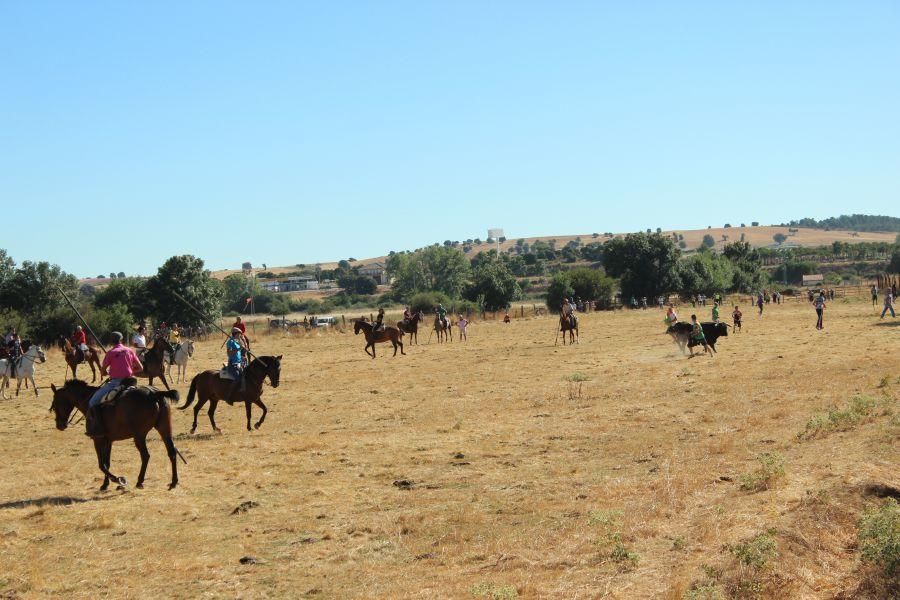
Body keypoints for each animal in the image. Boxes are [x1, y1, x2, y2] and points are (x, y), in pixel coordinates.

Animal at [50, 382, 184, 490]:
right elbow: (107, 463)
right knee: (172, 452)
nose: (59, 425)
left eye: (55, 403)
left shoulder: (97, 439)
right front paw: (105, 484)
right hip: (164, 429)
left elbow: (102, 464)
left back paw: (139, 481)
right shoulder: (108, 440)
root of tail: (154, 393)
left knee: (145, 456)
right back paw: (173, 482)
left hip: (139, 436)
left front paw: (118, 480)